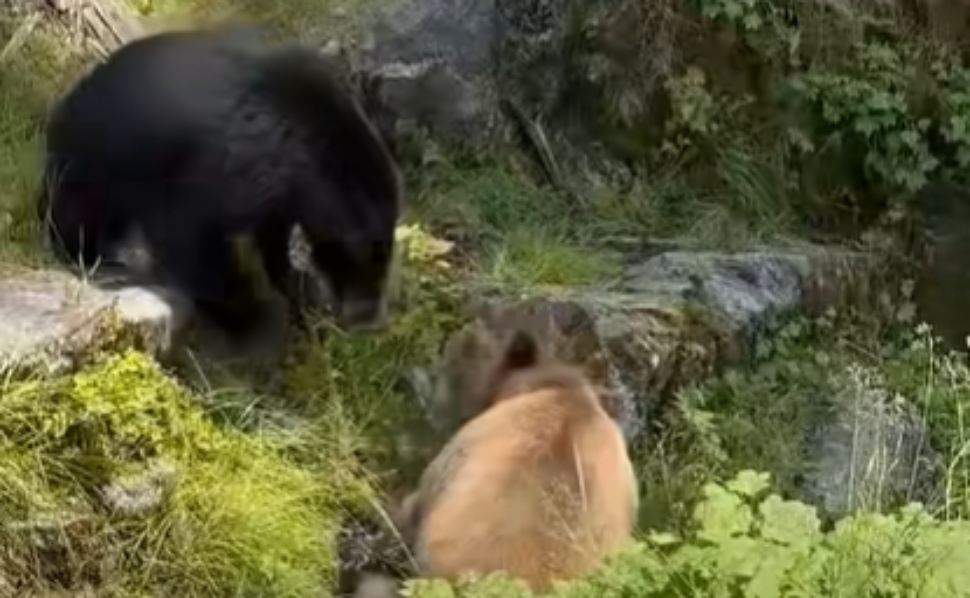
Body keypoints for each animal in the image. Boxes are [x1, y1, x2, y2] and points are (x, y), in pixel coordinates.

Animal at [37, 26, 403, 341]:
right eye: (369, 253)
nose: (372, 320)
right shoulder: (224, 171)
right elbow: (189, 231)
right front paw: (248, 311)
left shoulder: (279, 198)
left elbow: (272, 236)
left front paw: (295, 285)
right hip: (94, 165)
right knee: (77, 211)